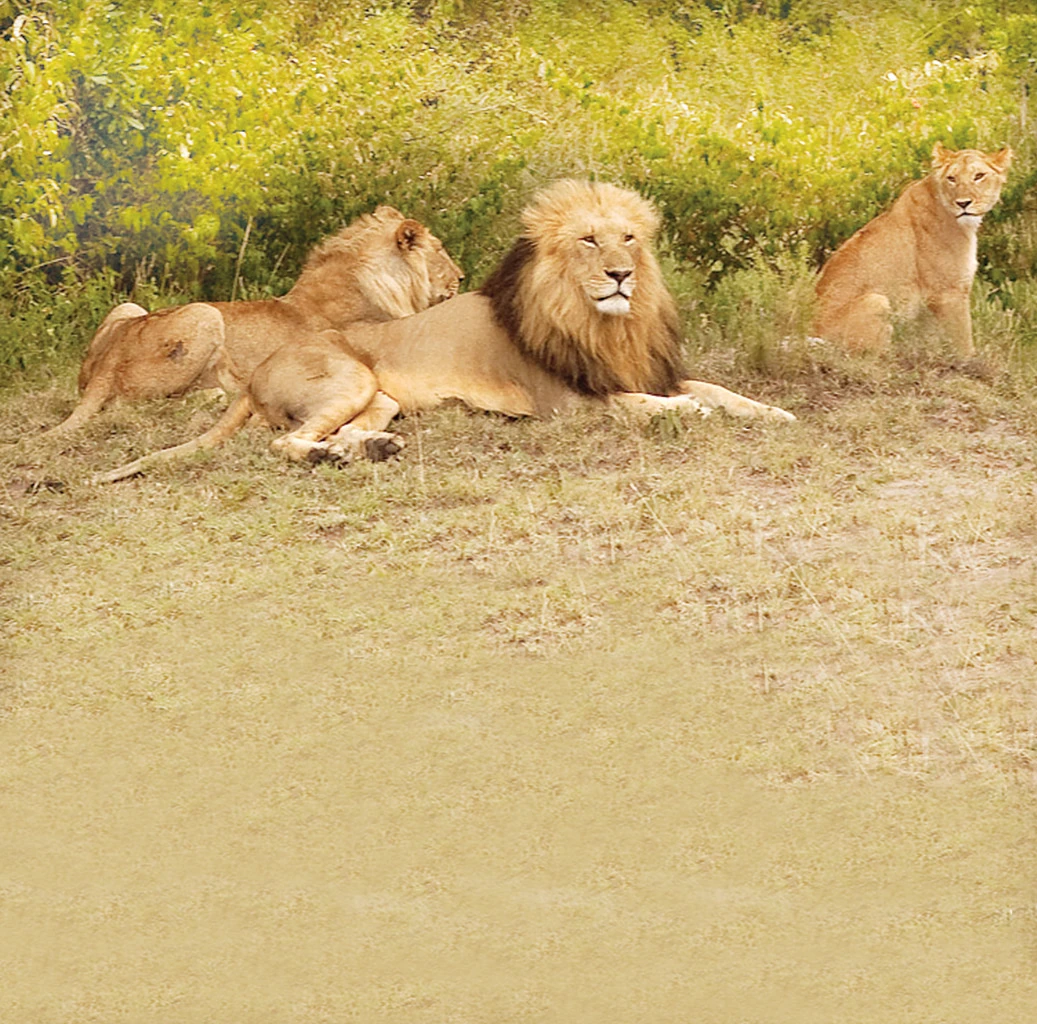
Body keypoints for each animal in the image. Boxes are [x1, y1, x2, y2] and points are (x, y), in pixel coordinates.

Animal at [24, 206, 463, 443]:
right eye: (441, 250)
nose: (461, 277)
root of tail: (108, 360)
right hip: (205, 313)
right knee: (128, 404)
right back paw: (214, 397)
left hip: (127, 308)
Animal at [95, 180, 793, 484]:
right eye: (589, 241)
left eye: (628, 238)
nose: (622, 274)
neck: (604, 324)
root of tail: (262, 368)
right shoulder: (567, 402)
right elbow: (648, 405)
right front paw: (687, 413)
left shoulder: (647, 368)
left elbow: (719, 390)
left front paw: (775, 413)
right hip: (348, 379)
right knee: (284, 443)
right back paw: (330, 456)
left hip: (379, 398)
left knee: (339, 433)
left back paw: (371, 450)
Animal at [813, 142, 1012, 356]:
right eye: (952, 178)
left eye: (979, 176)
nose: (963, 203)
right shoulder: (949, 292)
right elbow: (963, 341)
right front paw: (969, 361)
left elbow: (929, 339)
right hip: (877, 300)